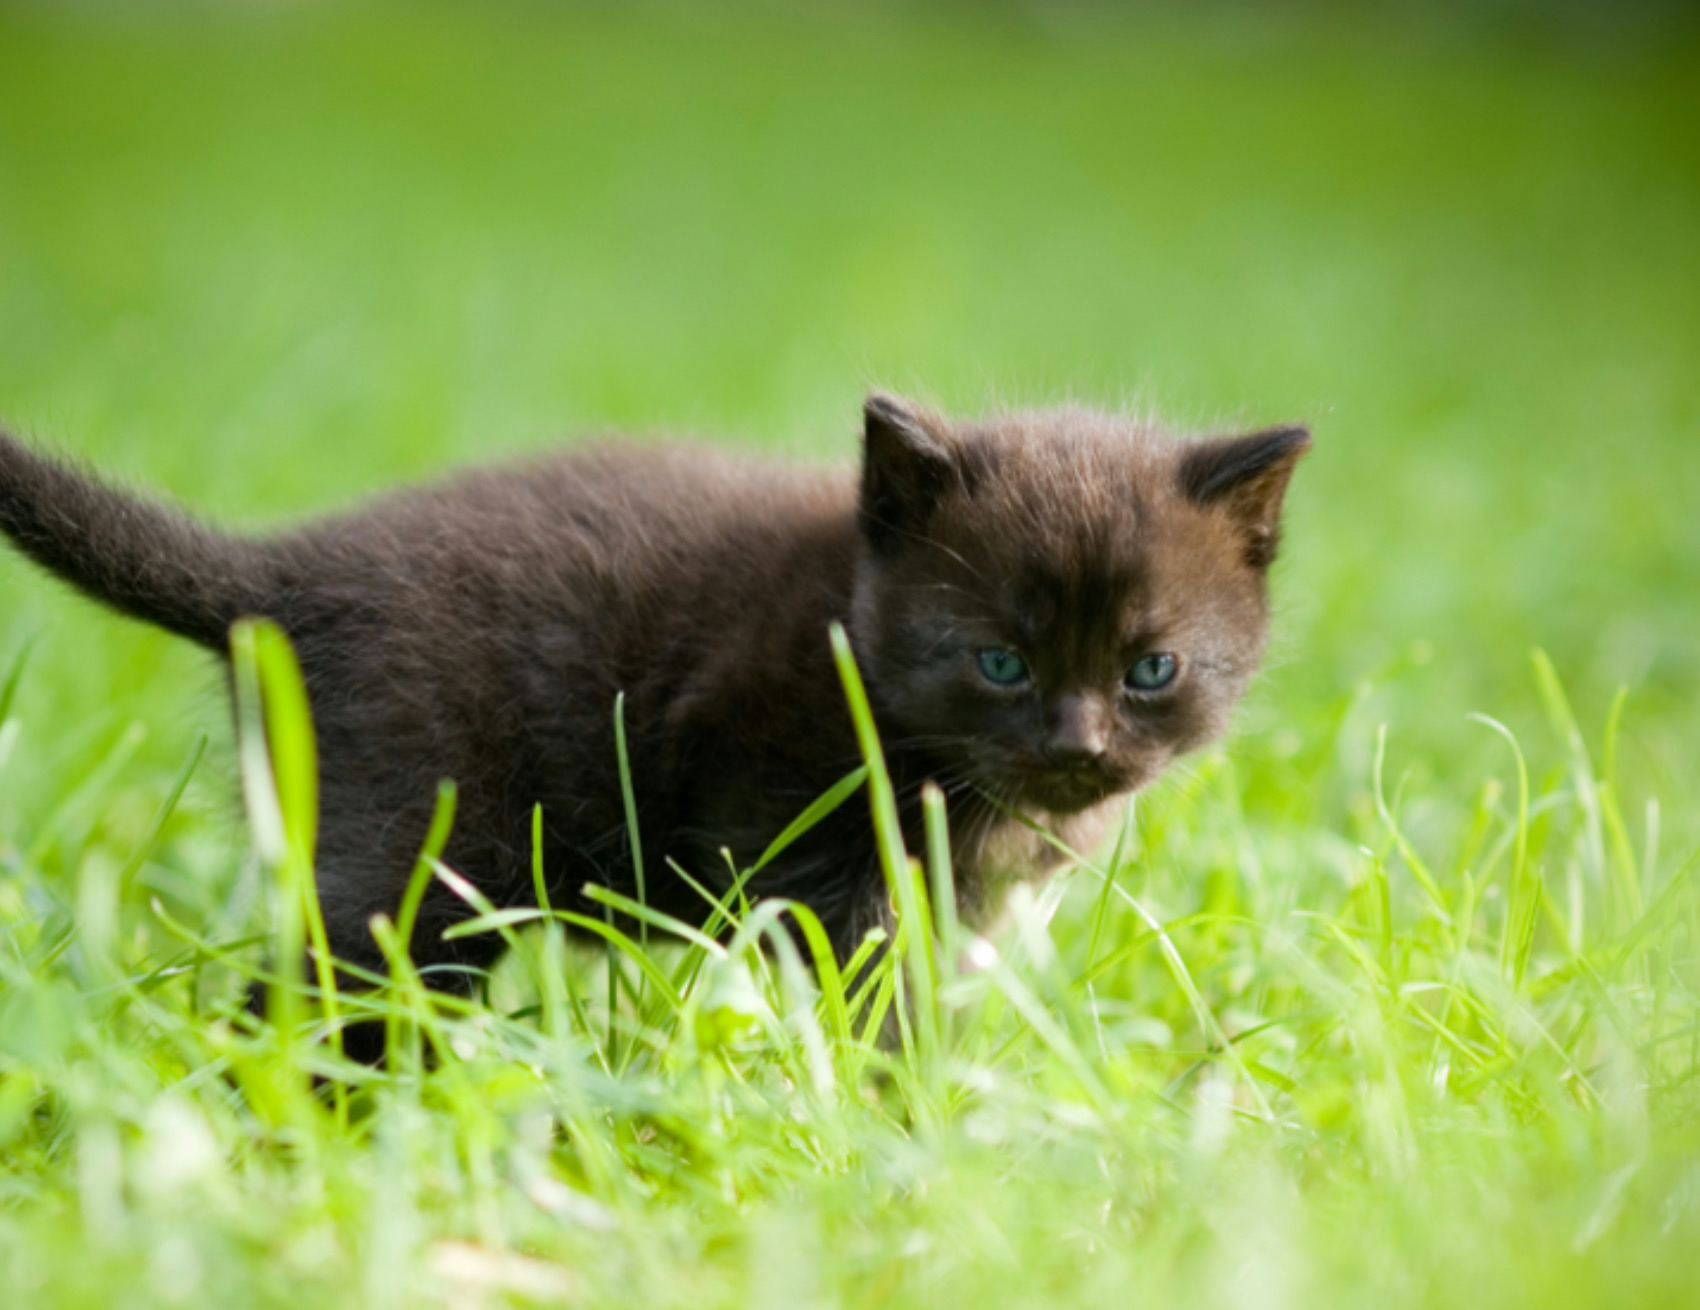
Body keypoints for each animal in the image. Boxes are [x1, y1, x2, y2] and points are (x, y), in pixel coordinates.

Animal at [0, 394, 1312, 992]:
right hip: (421, 843)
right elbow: (863, 992)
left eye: (1150, 668)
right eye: (998, 660)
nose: (1076, 743)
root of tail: (287, 579)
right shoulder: (793, 829)